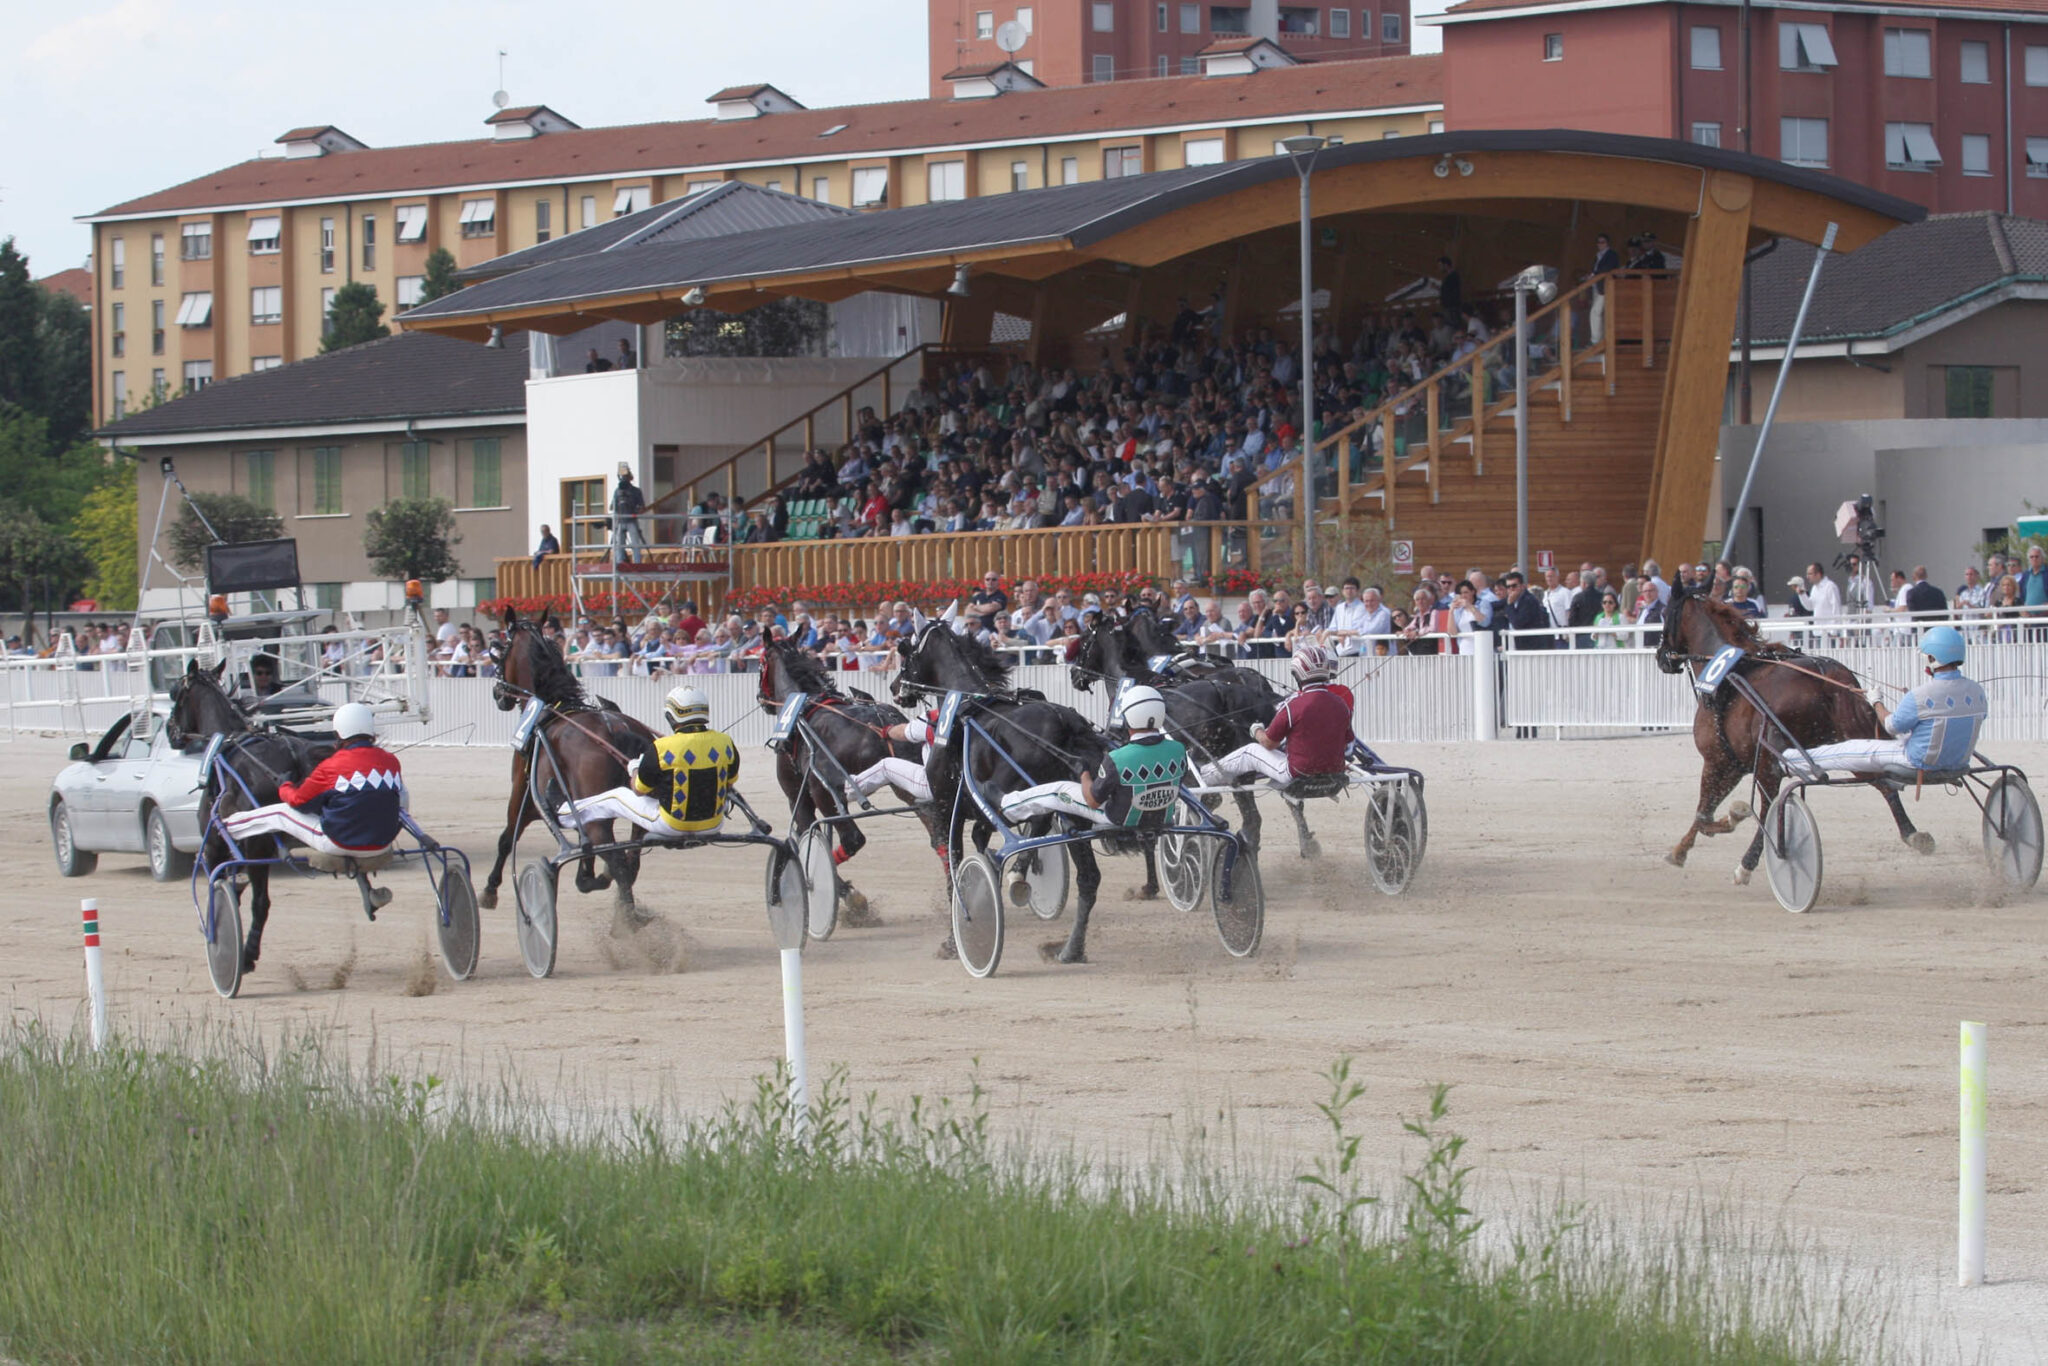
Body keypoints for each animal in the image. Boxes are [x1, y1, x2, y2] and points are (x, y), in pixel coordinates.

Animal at [167, 663, 333, 983]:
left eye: (175, 693)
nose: (169, 730)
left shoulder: (216, 844)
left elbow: (221, 887)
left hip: (258, 843)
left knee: (261, 903)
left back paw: (245, 956)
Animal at [481, 610, 655, 925]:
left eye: (499, 650)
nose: (498, 693)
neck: (550, 710)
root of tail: (618, 729)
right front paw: (591, 874)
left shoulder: (523, 796)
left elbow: (506, 838)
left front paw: (490, 889)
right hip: (637, 811)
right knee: (630, 859)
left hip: (599, 819)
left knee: (618, 862)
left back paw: (627, 919)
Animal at [761, 638, 937, 917]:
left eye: (760, 664)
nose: (762, 699)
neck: (804, 706)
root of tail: (881, 722)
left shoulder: (799, 797)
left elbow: (805, 834)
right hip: (909, 785)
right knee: (936, 832)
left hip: (824, 792)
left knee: (853, 839)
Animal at [897, 626, 1114, 966]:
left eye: (905, 653)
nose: (896, 688)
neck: (965, 709)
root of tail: (1064, 722)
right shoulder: (977, 813)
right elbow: (980, 842)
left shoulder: (948, 808)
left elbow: (953, 864)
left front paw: (954, 937)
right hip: (1075, 809)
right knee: (1087, 877)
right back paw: (1070, 948)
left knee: (1036, 819)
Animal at [1654, 581, 1925, 880]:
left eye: (1665, 613)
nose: (1661, 657)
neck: (1729, 673)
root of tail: (1825, 676)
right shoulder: (1734, 765)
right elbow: (1703, 814)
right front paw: (1679, 850)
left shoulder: (1717, 760)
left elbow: (1704, 816)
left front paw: (1732, 817)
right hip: (1852, 737)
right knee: (1883, 783)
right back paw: (1913, 834)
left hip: (1768, 761)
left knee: (1769, 807)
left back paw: (1748, 863)